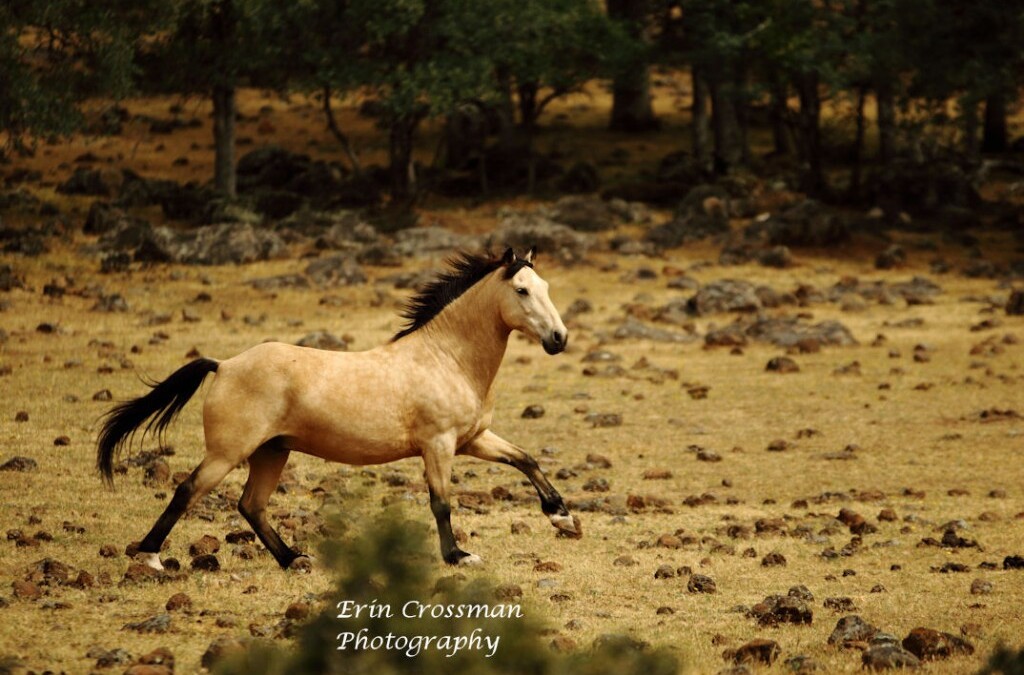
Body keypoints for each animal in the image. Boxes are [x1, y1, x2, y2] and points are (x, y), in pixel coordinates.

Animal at [97, 247, 580, 570]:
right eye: (521, 290)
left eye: (546, 287)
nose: (559, 338)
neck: (446, 357)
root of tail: (225, 364)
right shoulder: (439, 445)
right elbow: (441, 503)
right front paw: (458, 555)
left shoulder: (473, 439)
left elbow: (525, 459)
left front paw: (563, 518)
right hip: (228, 453)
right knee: (188, 490)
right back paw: (151, 558)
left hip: (272, 452)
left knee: (252, 505)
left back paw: (294, 559)